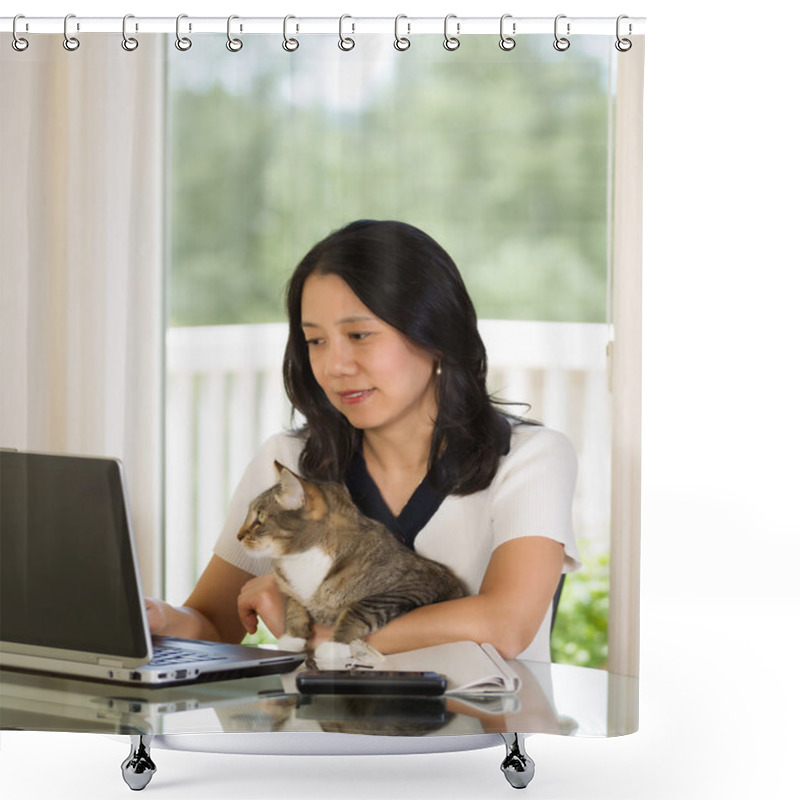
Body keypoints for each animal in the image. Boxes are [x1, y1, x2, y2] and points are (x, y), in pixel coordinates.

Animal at [236, 462, 468, 664]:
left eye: (260, 519)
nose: (238, 536)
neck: (303, 559)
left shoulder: (411, 587)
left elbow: (357, 610)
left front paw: (335, 645)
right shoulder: (292, 590)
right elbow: (293, 605)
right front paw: (292, 638)